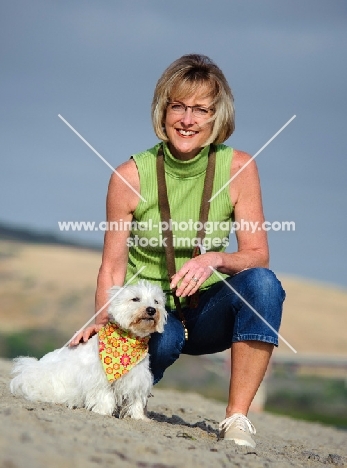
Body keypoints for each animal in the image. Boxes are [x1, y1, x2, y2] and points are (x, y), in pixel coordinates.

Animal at [10, 280, 168, 418]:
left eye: (156, 301)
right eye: (135, 299)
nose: (151, 310)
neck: (127, 341)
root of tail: (29, 369)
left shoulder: (137, 378)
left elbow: (135, 398)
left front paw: (138, 417)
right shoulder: (99, 377)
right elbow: (104, 395)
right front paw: (103, 412)